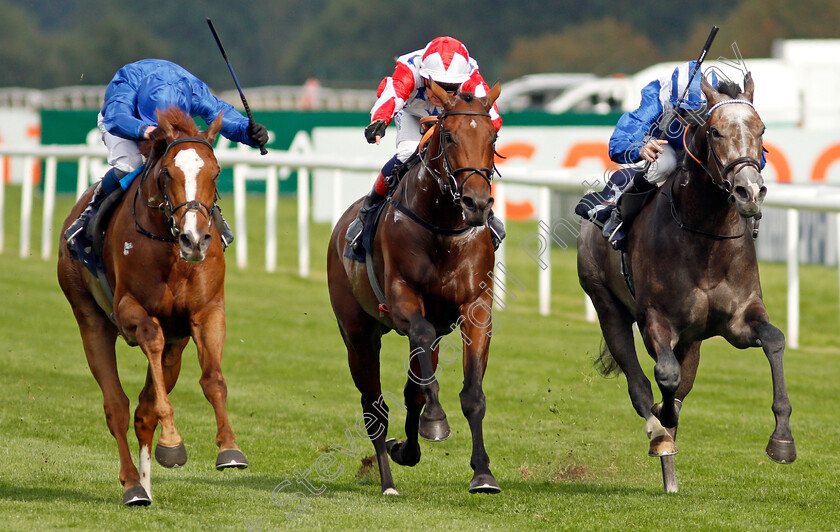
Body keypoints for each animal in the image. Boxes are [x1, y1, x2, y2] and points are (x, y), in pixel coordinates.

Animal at [55, 108, 244, 508]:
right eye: (168, 173)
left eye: (216, 171)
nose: (194, 239)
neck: (170, 249)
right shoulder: (130, 311)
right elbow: (150, 340)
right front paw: (172, 443)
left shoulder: (207, 311)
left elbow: (213, 378)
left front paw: (229, 449)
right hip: (89, 317)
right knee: (117, 406)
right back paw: (133, 485)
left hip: (178, 343)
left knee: (143, 410)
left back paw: (145, 483)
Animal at [326, 79, 498, 494]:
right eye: (449, 137)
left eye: (494, 136)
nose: (477, 203)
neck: (444, 227)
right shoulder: (404, 302)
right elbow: (417, 338)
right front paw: (436, 420)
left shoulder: (476, 308)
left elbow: (471, 393)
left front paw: (483, 473)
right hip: (358, 335)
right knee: (374, 406)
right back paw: (388, 480)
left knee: (412, 390)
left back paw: (405, 449)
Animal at [576, 72, 796, 492]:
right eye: (714, 131)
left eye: (761, 130)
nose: (749, 191)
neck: (705, 239)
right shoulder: (655, 319)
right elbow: (664, 377)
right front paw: (662, 424)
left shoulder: (739, 320)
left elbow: (774, 340)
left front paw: (782, 440)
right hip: (605, 302)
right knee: (639, 383)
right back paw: (660, 437)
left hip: (693, 339)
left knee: (680, 384)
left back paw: (671, 474)